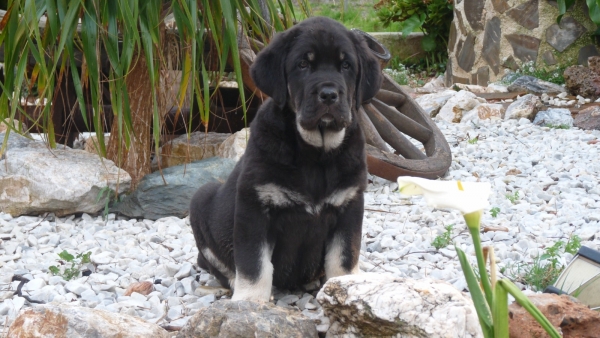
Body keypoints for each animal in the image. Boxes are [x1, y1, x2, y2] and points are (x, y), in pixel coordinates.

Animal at [190, 17, 382, 302]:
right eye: (303, 64)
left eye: (346, 65)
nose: (328, 94)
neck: (315, 155)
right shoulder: (255, 208)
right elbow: (254, 264)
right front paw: (249, 301)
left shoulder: (349, 204)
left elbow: (344, 257)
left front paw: (343, 288)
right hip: (200, 200)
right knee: (217, 264)